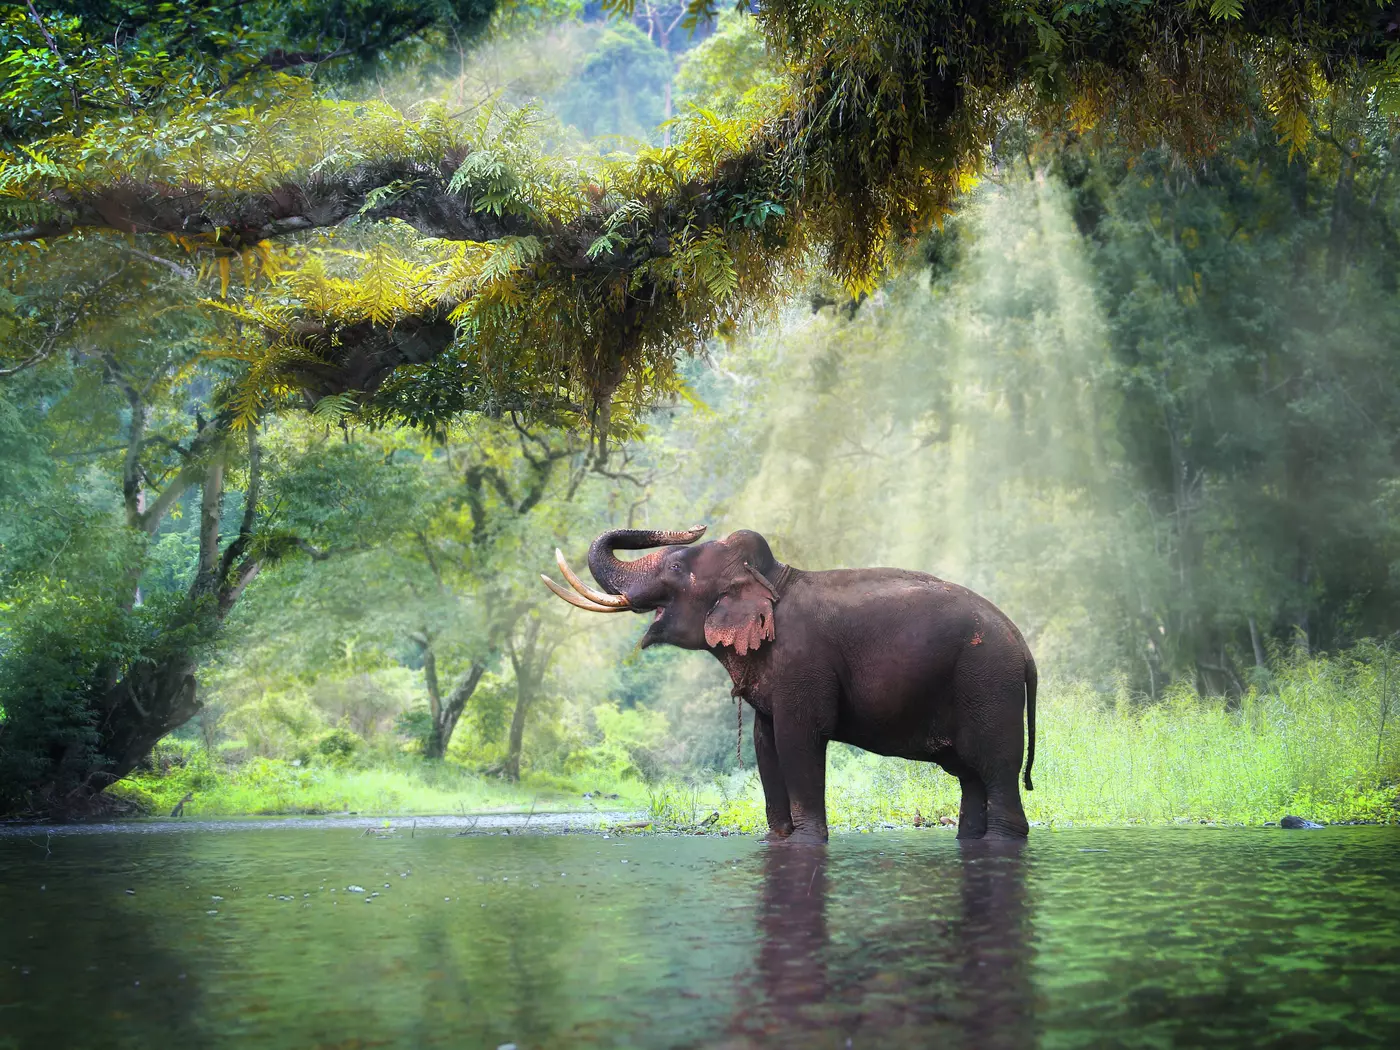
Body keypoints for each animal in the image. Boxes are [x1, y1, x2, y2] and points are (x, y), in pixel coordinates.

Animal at [541, 525, 1037, 843]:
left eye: (679, 566)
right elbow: (766, 744)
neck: (773, 577)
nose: (694, 526)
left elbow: (800, 739)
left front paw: (806, 842)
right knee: (971, 777)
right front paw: (776, 839)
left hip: (989, 685)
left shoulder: (804, 663)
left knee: (995, 771)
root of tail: (1024, 649)